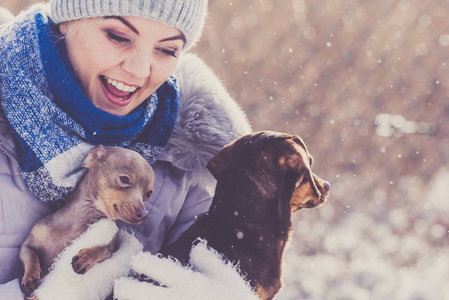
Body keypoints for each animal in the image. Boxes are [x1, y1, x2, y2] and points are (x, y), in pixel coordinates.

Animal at [19, 146, 154, 296]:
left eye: (148, 194)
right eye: (124, 179)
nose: (144, 214)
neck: (80, 218)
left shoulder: (112, 251)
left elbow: (104, 250)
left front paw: (87, 257)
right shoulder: (28, 244)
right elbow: (30, 256)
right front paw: (31, 276)